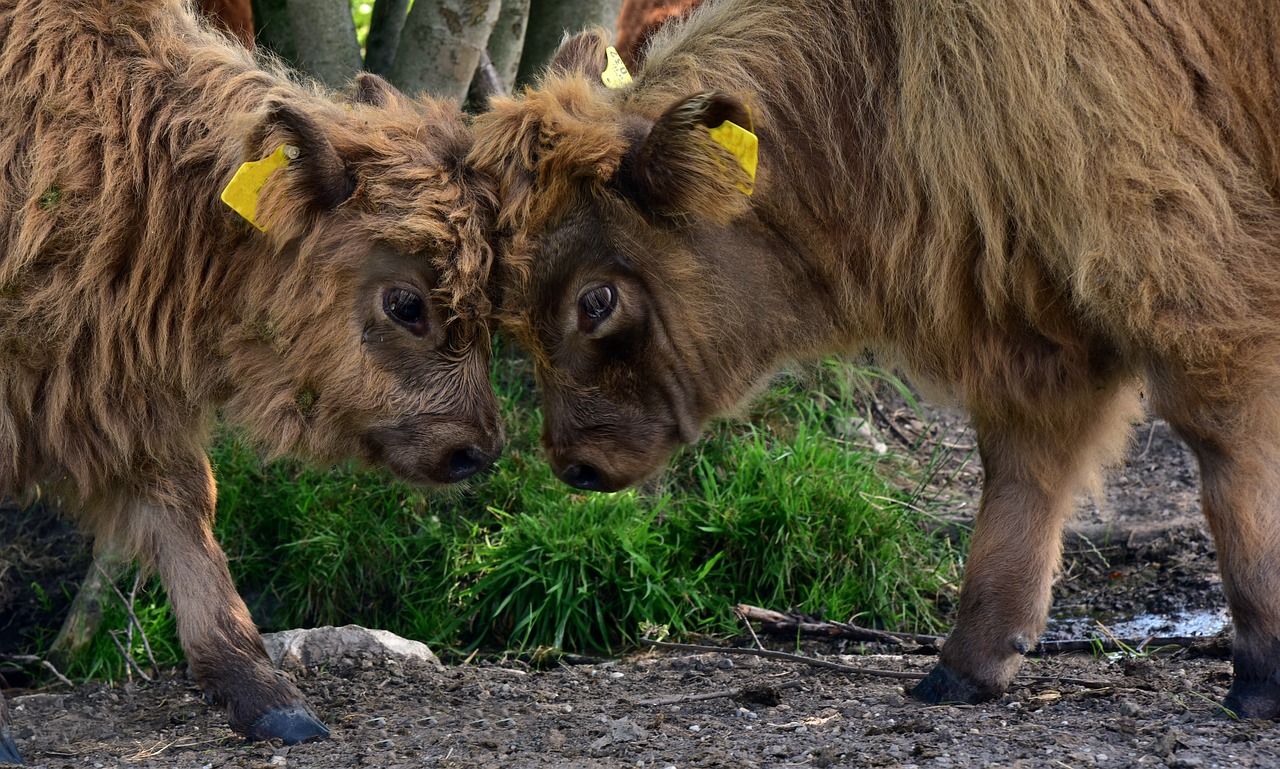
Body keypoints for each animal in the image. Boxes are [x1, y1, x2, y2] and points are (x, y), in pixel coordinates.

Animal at [476, 0, 1280, 721]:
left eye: (597, 299)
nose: (573, 462)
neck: (885, 68)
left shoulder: (1180, 260)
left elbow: (1231, 459)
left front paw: (1260, 679)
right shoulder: (1035, 316)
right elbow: (1022, 470)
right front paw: (963, 667)